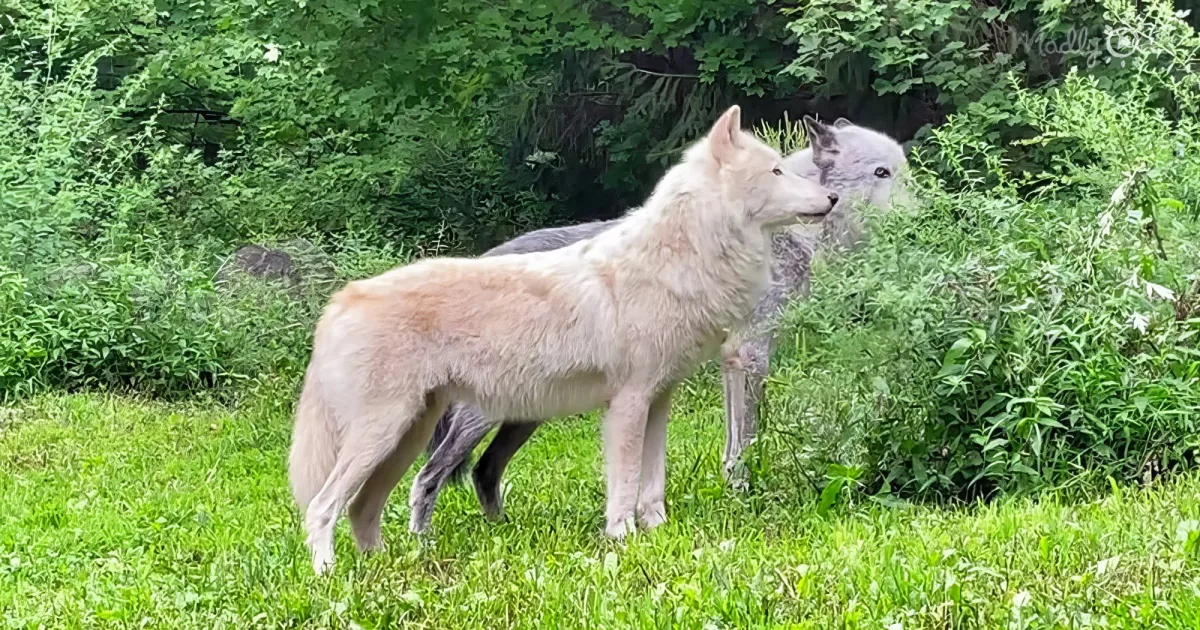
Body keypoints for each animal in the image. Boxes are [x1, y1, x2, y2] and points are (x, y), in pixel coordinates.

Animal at [288, 105, 839, 573]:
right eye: (776, 172)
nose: (833, 199)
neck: (677, 261)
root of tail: (340, 300)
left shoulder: (659, 401)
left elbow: (653, 486)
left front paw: (658, 533)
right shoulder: (628, 404)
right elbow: (624, 485)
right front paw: (622, 540)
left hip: (408, 436)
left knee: (364, 508)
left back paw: (390, 566)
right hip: (390, 434)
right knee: (324, 506)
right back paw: (330, 576)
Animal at [408, 116, 909, 533]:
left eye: (904, 171)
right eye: (883, 173)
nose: (920, 213)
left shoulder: (729, 360)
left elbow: (731, 440)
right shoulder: (750, 354)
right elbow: (747, 437)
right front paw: (743, 490)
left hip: (526, 413)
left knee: (483, 470)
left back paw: (504, 530)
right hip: (489, 415)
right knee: (434, 472)